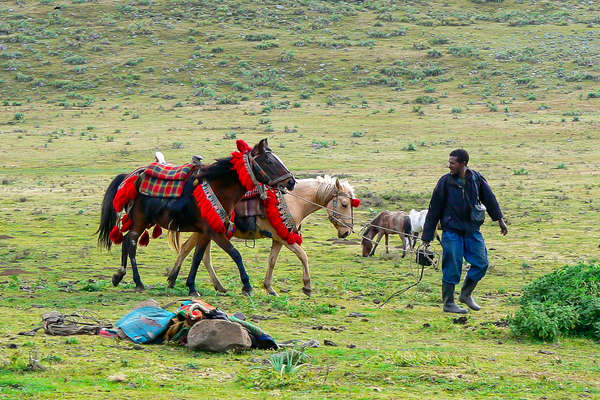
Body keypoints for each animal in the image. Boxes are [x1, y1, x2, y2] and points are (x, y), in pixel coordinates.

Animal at [96, 139, 296, 296]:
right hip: (140, 221)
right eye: (269, 160)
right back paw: (138, 282)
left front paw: (191, 287)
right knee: (130, 242)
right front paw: (247, 286)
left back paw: (118, 276)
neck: (219, 187)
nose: (291, 182)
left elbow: (197, 257)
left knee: (126, 241)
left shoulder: (205, 232)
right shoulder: (214, 231)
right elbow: (235, 254)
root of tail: (131, 176)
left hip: (144, 222)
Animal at [165, 176, 356, 296]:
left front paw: (269, 287)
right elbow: (303, 256)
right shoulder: (286, 238)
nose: (346, 232)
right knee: (192, 251)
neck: (295, 201)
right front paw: (307, 286)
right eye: (344, 204)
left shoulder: (278, 239)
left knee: (193, 251)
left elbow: (272, 261)